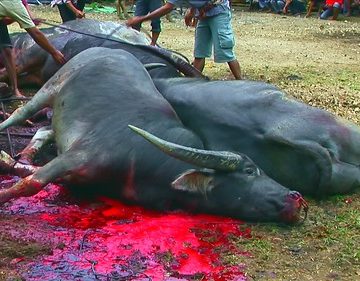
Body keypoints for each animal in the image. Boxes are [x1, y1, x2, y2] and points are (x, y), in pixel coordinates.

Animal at [0, 48, 306, 223]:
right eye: (250, 171)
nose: (296, 197)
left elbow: (29, 174)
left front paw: (14, 162)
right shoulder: (76, 156)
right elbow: (31, 183)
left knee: (43, 129)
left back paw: (25, 153)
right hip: (50, 88)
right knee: (20, 114)